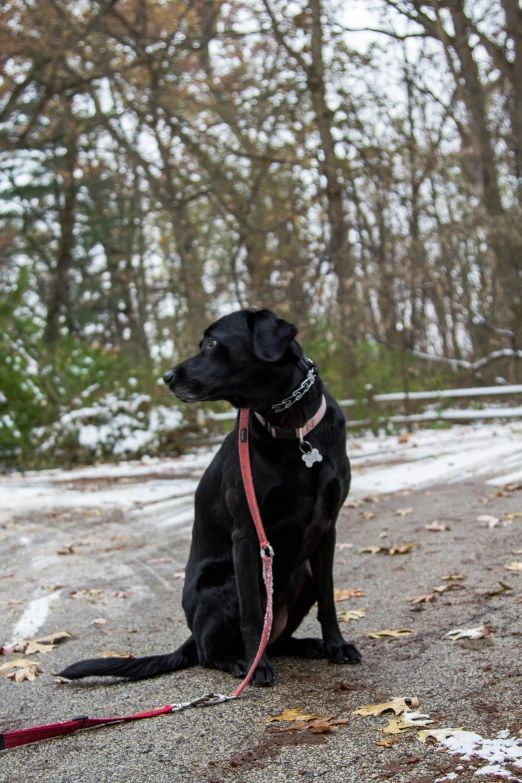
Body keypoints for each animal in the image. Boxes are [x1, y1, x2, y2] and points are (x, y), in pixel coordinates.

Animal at [60, 308, 358, 688]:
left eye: (212, 343)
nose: (167, 376)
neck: (292, 429)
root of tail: (191, 635)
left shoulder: (327, 527)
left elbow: (329, 597)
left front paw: (337, 645)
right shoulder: (247, 534)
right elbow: (252, 612)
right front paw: (257, 667)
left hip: (300, 574)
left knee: (278, 638)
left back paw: (309, 645)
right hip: (225, 584)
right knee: (209, 653)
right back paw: (240, 662)